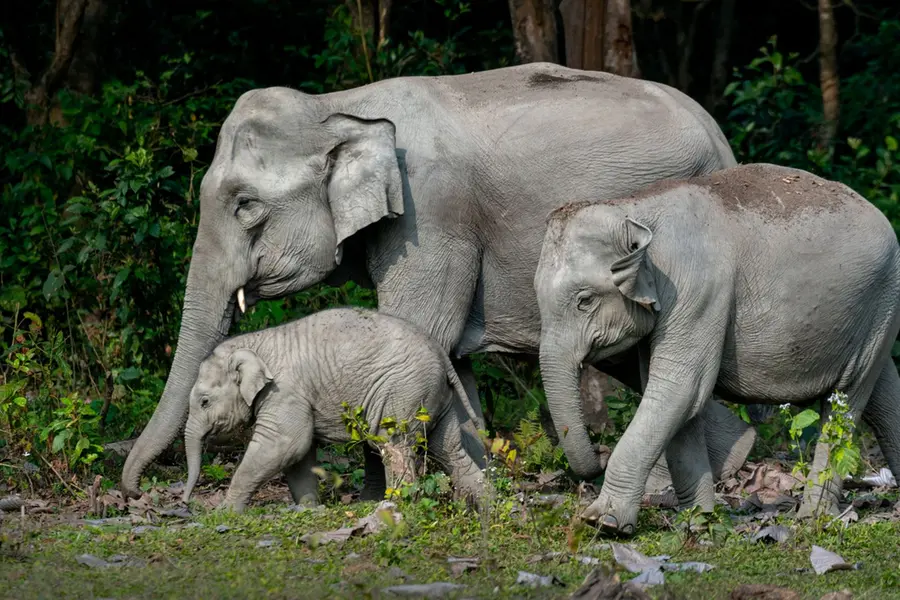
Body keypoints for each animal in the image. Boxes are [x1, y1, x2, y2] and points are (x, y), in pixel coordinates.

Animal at [181, 307, 485, 512]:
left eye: (204, 401)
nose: (184, 502)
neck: (254, 343)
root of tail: (442, 355)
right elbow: (299, 454)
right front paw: (309, 508)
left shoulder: (284, 392)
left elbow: (284, 444)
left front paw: (224, 513)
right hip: (433, 396)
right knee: (449, 448)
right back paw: (486, 509)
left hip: (404, 390)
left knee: (395, 446)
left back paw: (395, 508)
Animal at [534, 162, 900, 534]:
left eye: (584, 300)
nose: (598, 453)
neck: (633, 207)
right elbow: (678, 400)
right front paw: (697, 520)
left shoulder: (697, 291)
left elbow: (679, 389)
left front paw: (602, 521)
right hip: (874, 313)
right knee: (882, 389)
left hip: (882, 296)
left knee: (847, 398)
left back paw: (814, 517)